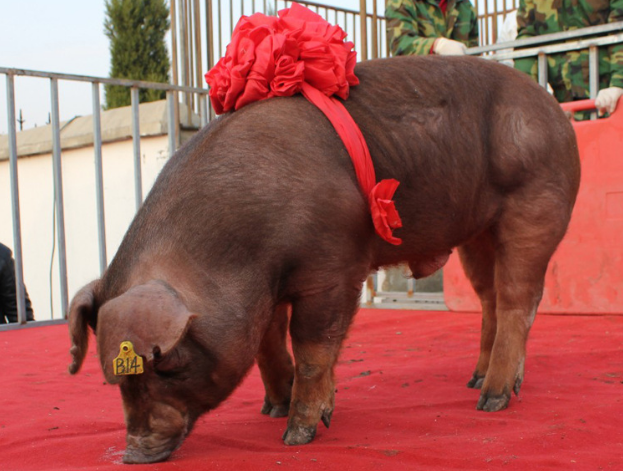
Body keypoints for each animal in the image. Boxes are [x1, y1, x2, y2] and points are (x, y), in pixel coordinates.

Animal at [66, 56, 584, 464]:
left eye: (168, 363)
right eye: (116, 380)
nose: (134, 454)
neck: (236, 254)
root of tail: (555, 112)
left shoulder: (334, 268)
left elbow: (314, 348)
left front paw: (296, 435)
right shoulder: (265, 294)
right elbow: (269, 345)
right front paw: (274, 407)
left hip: (535, 203)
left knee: (520, 299)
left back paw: (492, 401)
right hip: (476, 234)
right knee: (491, 299)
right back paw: (477, 382)